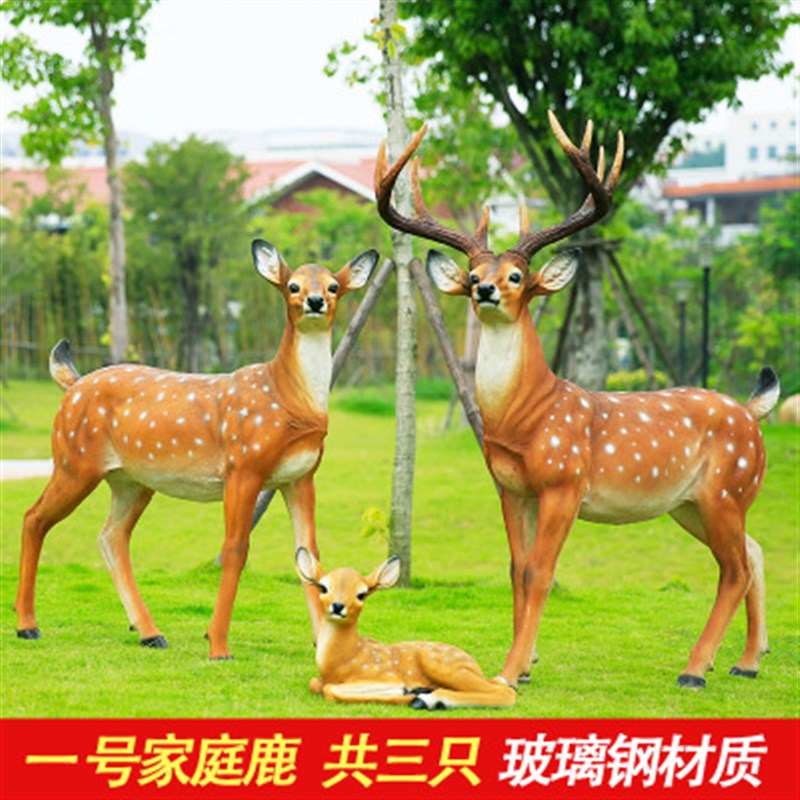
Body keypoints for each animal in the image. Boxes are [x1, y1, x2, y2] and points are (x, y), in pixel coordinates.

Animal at [15, 239, 378, 659]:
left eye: (334, 286)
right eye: (293, 286)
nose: (316, 301)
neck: (291, 401)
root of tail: (72, 384)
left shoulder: (301, 477)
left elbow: (309, 554)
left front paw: (323, 643)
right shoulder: (242, 466)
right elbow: (235, 549)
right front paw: (218, 645)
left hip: (131, 480)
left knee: (111, 536)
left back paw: (150, 633)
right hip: (73, 460)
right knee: (34, 518)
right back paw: (27, 625)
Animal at [295, 547, 517, 709]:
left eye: (362, 594)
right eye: (323, 587)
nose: (338, 606)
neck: (341, 662)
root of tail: (474, 665)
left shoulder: (383, 675)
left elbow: (330, 690)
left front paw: (407, 692)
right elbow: (315, 684)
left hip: (441, 664)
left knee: (506, 692)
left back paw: (427, 699)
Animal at [374, 111, 780, 690]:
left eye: (517, 276)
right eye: (473, 275)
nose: (485, 291)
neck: (527, 419)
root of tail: (750, 412)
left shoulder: (564, 481)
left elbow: (542, 572)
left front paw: (509, 671)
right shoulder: (510, 487)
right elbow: (516, 570)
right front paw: (523, 667)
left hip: (728, 488)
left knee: (735, 568)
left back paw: (695, 670)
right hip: (693, 503)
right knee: (752, 554)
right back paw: (747, 661)